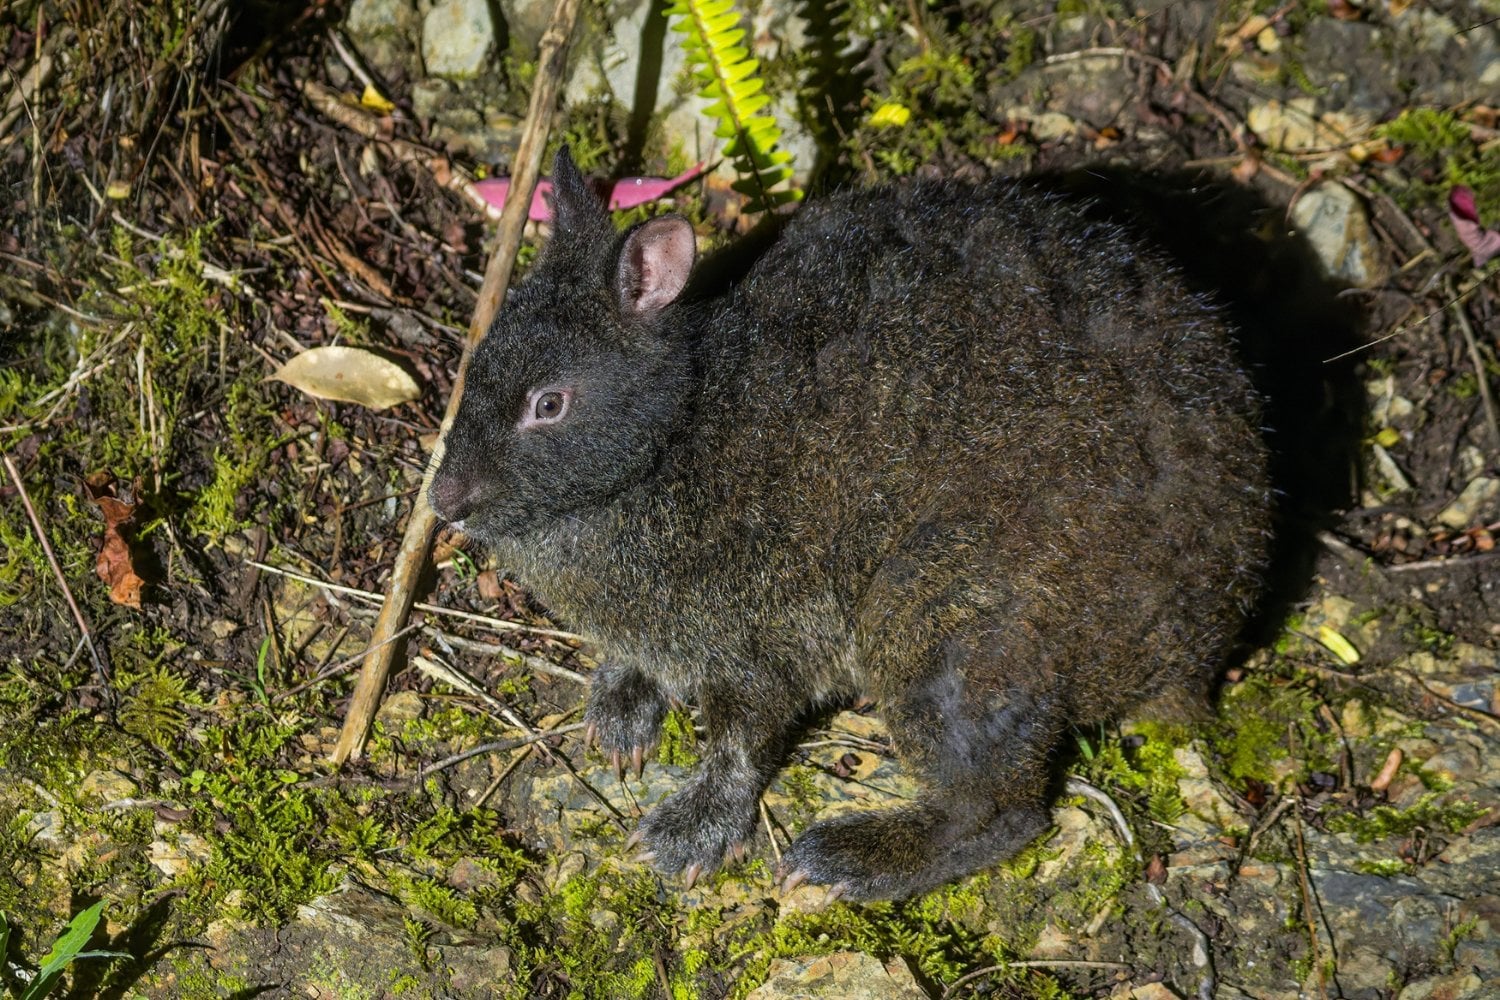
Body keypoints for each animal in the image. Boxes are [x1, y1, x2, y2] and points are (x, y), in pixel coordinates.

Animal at [428, 147, 1272, 900]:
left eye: (549, 404)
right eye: (475, 362)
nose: (444, 500)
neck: (674, 438)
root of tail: (1201, 643)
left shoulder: (758, 639)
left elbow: (740, 749)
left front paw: (692, 833)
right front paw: (620, 709)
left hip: (938, 617)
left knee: (1003, 813)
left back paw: (854, 859)